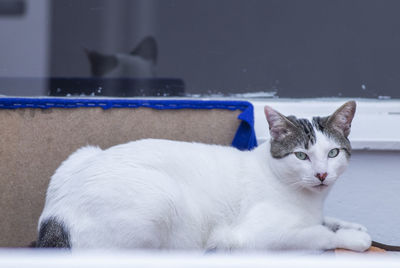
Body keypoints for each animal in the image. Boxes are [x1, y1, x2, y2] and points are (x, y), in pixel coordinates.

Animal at [36, 101, 372, 252]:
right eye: (301, 155)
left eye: (333, 153)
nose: (321, 174)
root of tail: (54, 219)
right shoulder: (254, 236)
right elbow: (319, 234)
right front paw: (354, 238)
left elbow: (325, 222)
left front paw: (352, 225)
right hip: (162, 198)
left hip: (80, 154)